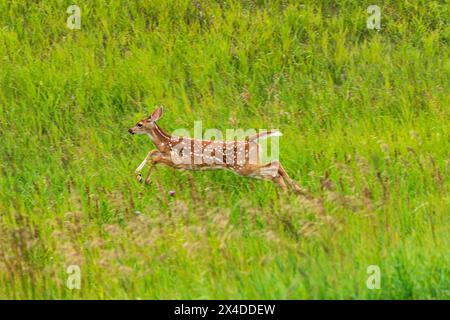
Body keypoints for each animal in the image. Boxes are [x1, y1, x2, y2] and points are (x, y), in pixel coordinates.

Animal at [129, 106, 302, 194]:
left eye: (139, 124)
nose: (130, 130)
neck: (166, 142)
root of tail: (250, 140)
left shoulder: (179, 161)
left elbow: (155, 158)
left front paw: (146, 180)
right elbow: (152, 153)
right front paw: (138, 175)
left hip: (242, 167)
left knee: (275, 166)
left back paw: (290, 190)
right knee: (275, 170)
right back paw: (295, 189)